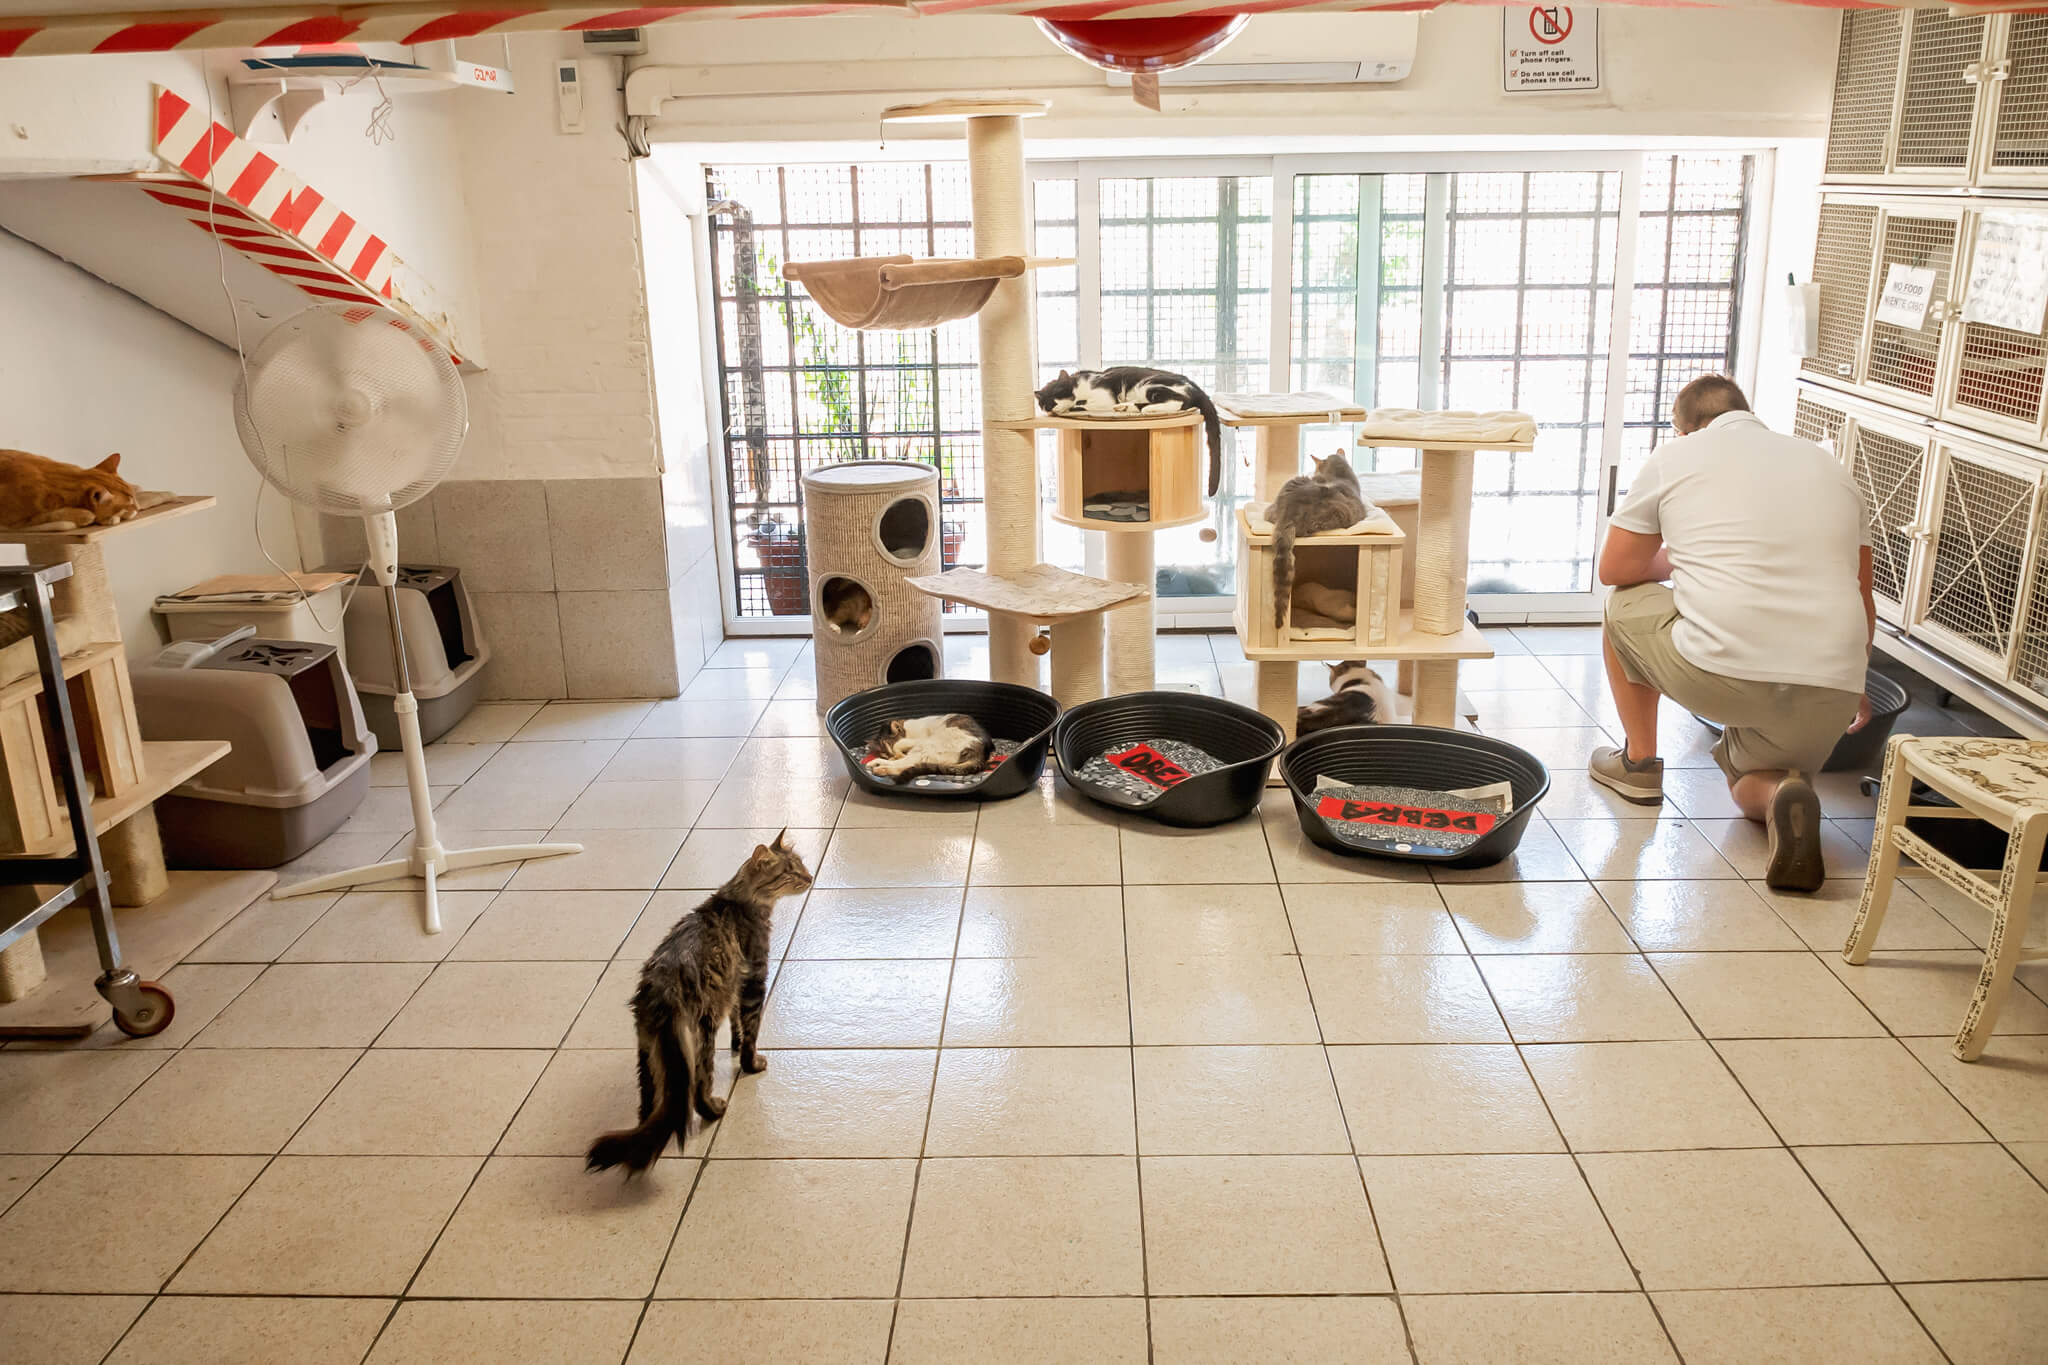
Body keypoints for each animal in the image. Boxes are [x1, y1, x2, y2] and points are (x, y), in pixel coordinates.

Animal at [0, 450, 140, 532]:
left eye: (134, 498)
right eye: (129, 504)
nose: (138, 508)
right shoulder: (16, 523)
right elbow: (51, 515)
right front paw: (87, 516)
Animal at [585, 834, 815, 1178]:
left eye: (801, 866)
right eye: (790, 872)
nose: (810, 878)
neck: (737, 900)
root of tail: (662, 991)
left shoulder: (732, 986)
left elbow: (736, 1023)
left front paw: (735, 1044)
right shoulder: (754, 979)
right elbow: (751, 1028)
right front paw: (750, 1062)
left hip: (648, 1055)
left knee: (649, 1105)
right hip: (701, 1035)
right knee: (697, 1088)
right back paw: (715, 1109)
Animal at [1032, 368, 1220, 497]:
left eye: (1059, 392)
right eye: (1046, 402)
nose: (1053, 407)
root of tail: (1196, 387)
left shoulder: (1104, 398)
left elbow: (1085, 404)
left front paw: (1077, 405)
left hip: (1149, 384)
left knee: (1180, 400)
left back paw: (1143, 409)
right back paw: (1126, 407)